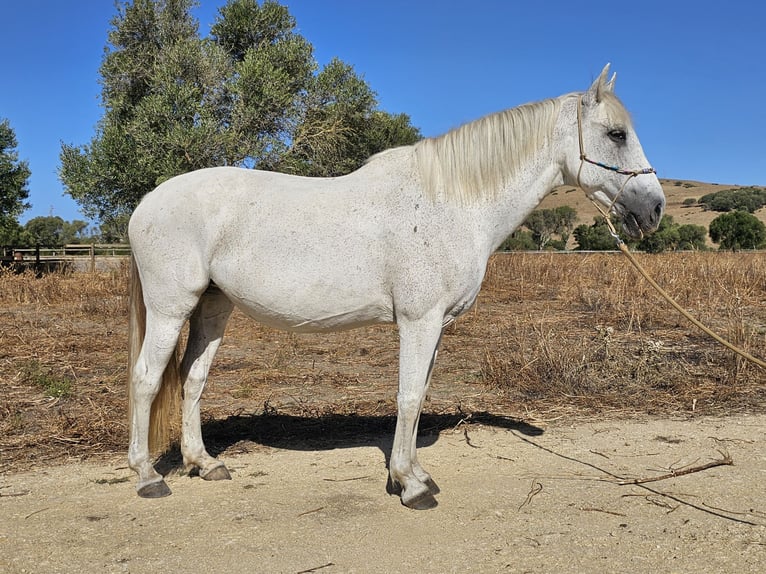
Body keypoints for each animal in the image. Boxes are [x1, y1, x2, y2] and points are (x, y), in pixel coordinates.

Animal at [127, 65, 664, 510]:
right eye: (616, 134)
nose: (654, 209)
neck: (450, 202)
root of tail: (147, 202)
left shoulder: (436, 325)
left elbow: (420, 394)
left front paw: (415, 475)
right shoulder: (417, 321)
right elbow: (407, 396)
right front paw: (409, 486)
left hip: (213, 306)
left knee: (193, 379)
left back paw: (204, 464)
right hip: (171, 308)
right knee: (146, 379)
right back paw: (148, 476)